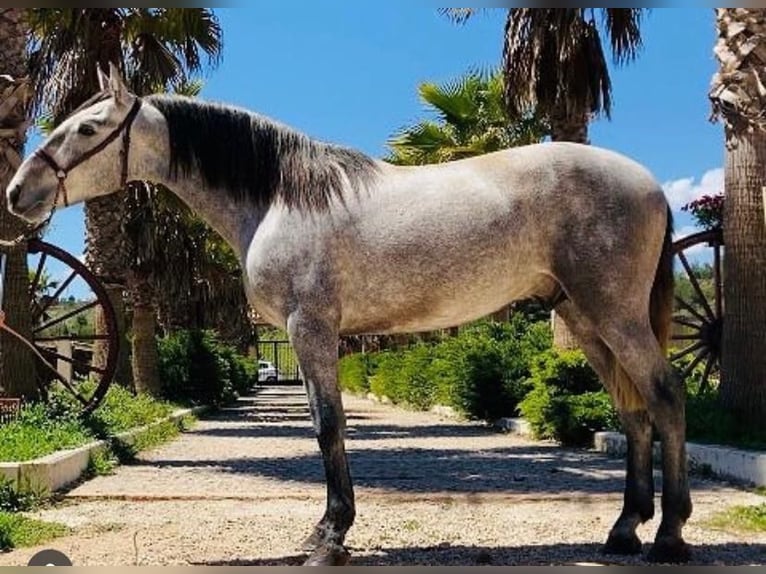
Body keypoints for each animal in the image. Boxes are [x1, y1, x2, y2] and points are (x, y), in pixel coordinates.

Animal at [6, 64, 692, 568]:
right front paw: (323, 532)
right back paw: (624, 530)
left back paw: (669, 537)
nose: (18, 193)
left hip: (614, 314)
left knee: (665, 396)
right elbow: (323, 426)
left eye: (89, 129)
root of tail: (648, 184)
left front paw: (330, 537)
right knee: (633, 410)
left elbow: (329, 428)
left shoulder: (310, 329)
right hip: (584, 319)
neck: (280, 197)